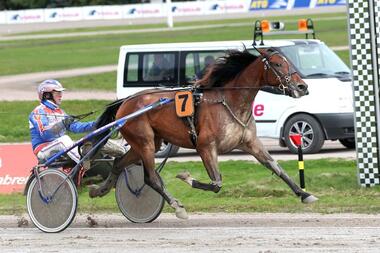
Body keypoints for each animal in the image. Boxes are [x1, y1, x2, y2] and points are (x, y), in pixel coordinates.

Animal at [89, 48, 318, 218]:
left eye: (288, 62)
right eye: (278, 64)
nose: (302, 87)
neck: (230, 102)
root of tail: (125, 102)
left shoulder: (251, 142)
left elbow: (276, 167)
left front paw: (304, 193)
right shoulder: (205, 147)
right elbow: (216, 183)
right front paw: (186, 177)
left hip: (149, 143)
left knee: (119, 163)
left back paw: (99, 189)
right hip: (144, 141)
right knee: (151, 178)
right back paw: (177, 206)